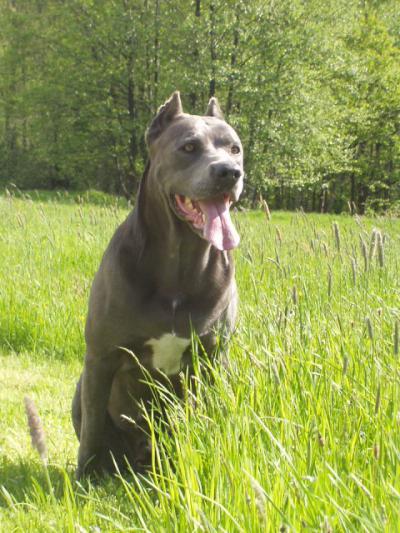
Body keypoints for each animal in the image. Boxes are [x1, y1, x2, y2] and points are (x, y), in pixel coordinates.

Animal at [72, 92, 244, 477]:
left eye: (235, 148)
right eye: (189, 146)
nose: (229, 172)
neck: (179, 260)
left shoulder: (212, 357)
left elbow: (206, 413)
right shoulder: (101, 356)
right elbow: (93, 423)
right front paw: (84, 476)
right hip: (80, 385)